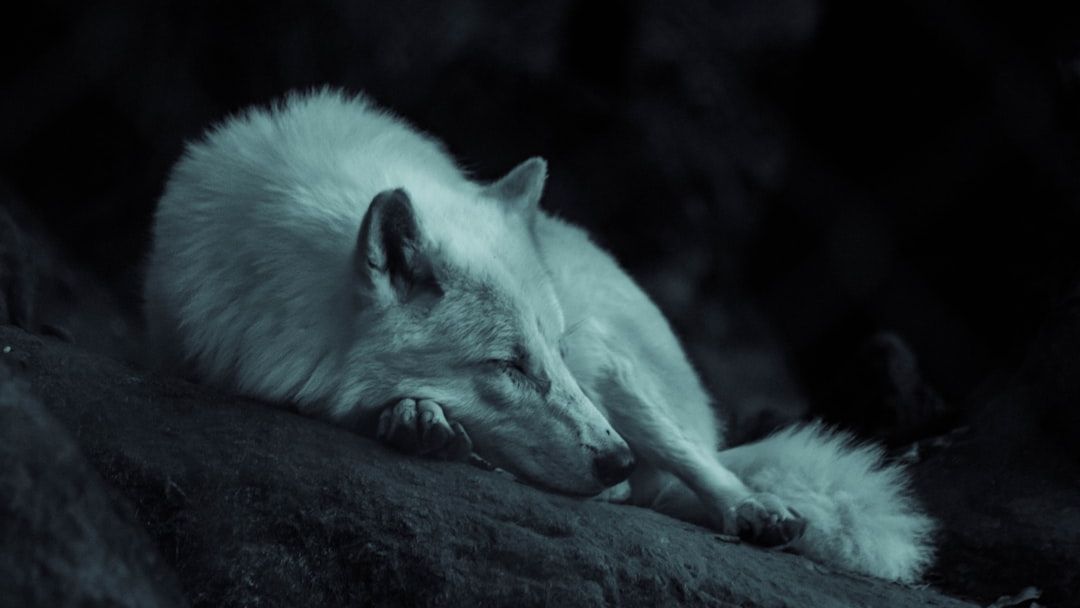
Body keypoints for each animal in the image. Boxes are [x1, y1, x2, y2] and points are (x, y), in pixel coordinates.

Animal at [144, 89, 934, 582]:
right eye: (509, 366)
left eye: (548, 352)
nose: (614, 459)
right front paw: (418, 418)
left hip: (614, 365)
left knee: (698, 464)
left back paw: (752, 509)